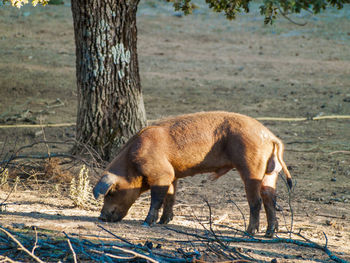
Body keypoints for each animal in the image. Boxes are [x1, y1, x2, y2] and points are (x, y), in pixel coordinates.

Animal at [93, 110, 292, 238]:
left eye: (111, 192)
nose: (101, 217)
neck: (132, 163)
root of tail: (271, 137)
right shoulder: (172, 175)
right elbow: (170, 197)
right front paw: (164, 222)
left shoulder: (162, 174)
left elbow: (157, 199)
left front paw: (147, 222)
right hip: (270, 173)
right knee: (270, 198)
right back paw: (269, 233)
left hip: (251, 168)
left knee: (256, 201)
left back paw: (248, 232)